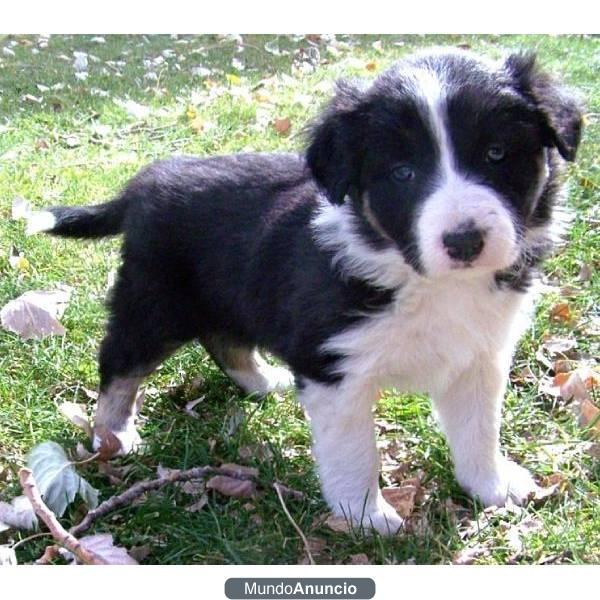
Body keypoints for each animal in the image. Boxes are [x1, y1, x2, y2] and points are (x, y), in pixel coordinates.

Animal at [29, 48, 580, 536]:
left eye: (496, 154)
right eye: (403, 173)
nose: (464, 241)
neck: (420, 277)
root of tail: (142, 183)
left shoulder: (478, 356)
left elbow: (479, 430)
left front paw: (492, 487)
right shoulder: (332, 366)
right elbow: (356, 451)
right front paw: (366, 517)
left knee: (223, 339)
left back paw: (262, 382)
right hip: (153, 302)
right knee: (119, 362)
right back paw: (114, 434)